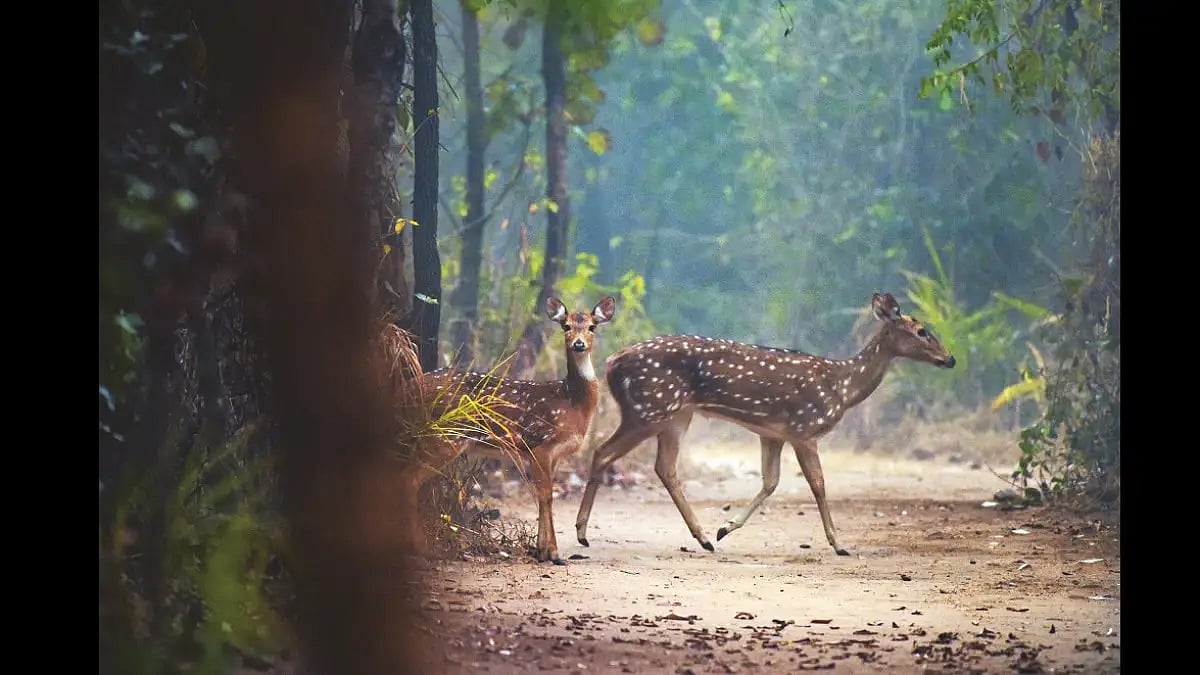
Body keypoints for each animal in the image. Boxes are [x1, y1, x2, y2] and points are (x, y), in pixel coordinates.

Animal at [398, 296, 616, 565]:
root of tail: (410, 386)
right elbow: (547, 495)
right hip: (445, 435)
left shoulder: (552, 454)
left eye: (591, 327)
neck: (572, 402)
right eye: (566, 326)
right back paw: (421, 549)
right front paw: (554, 554)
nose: (578, 344)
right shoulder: (541, 444)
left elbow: (543, 497)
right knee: (409, 479)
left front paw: (541, 551)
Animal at [573, 292, 955, 557]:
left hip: (675, 415)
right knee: (603, 452)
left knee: (663, 467)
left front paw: (725, 528)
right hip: (648, 408)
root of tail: (612, 363)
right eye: (922, 331)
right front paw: (839, 544)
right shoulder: (805, 429)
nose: (950, 358)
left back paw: (703, 538)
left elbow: (770, 482)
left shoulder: (772, 434)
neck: (843, 388)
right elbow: (818, 485)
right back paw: (582, 533)